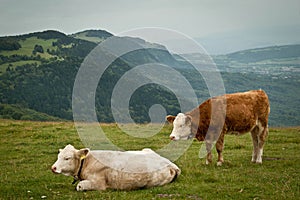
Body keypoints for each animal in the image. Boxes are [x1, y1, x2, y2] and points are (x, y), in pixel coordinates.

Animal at [51, 144, 180, 191]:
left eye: (67, 158)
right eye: (58, 156)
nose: (53, 168)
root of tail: (170, 163)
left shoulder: (99, 184)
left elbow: (79, 186)